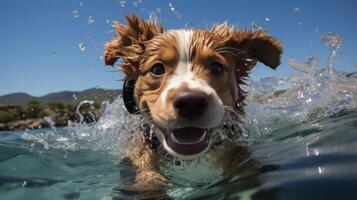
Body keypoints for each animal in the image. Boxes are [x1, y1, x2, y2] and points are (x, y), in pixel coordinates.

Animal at [103, 14, 280, 195]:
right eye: (157, 69)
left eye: (217, 67)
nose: (190, 103)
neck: (191, 160)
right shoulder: (142, 157)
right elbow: (148, 178)